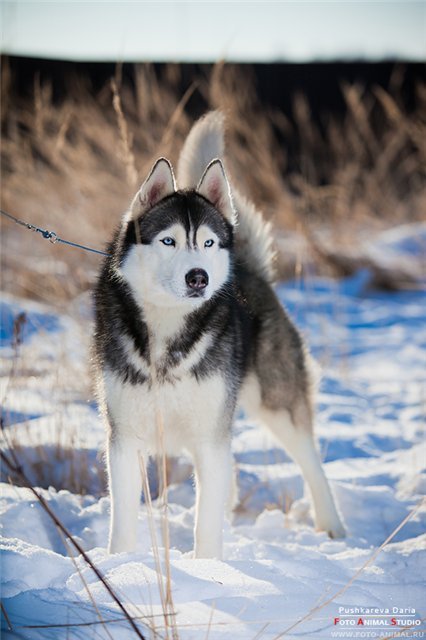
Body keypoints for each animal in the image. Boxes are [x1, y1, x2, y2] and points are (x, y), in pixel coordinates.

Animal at [94, 111, 346, 560]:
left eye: (208, 242)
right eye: (169, 240)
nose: (199, 277)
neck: (168, 334)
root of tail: (250, 268)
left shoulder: (209, 437)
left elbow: (205, 524)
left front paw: (209, 568)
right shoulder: (124, 440)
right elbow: (122, 521)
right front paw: (120, 565)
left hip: (276, 403)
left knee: (310, 461)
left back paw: (330, 524)